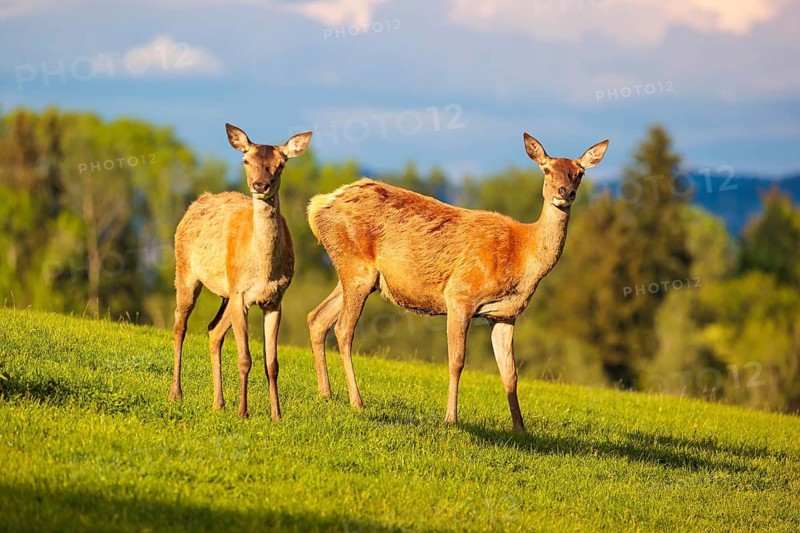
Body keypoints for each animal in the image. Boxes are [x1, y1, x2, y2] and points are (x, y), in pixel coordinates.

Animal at [169, 123, 312, 420]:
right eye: (246, 161)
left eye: (281, 164)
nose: (260, 185)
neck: (263, 271)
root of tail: (195, 203)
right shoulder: (241, 296)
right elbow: (245, 358)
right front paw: (243, 412)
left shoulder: (275, 301)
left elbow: (272, 363)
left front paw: (276, 415)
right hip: (186, 272)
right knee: (180, 325)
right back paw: (177, 394)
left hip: (226, 294)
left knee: (213, 330)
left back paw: (218, 403)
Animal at [306, 133, 608, 431]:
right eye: (546, 169)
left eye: (579, 173)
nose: (565, 192)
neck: (522, 255)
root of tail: (318, 206)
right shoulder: (460, 295)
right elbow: (457, 361)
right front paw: (451, 419)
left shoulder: (505, 314)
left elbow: (510, 373)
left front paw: (520, 429)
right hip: (357, 266)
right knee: (343, 329)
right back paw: (356, 401)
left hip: (359, 276)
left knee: (317, 317)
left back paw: (326, 393)